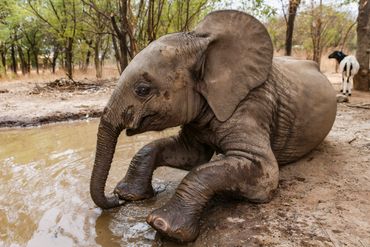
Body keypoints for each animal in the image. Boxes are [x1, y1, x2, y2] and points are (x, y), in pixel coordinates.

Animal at [90, 10, 338, 243]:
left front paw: (163, 226)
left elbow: (260, 174)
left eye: (142, 90)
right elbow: (191, 156)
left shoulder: (254, 103)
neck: (202, 44)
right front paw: (128, 195)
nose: (114, 201)